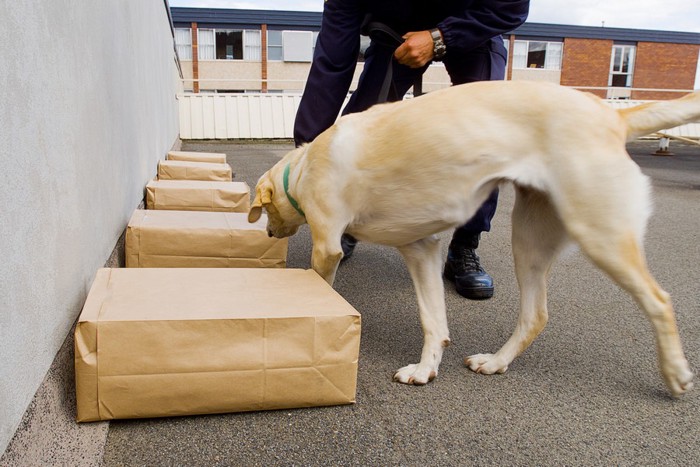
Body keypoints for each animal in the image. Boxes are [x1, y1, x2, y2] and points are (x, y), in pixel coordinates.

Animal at [249, 82, 696, 396]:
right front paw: (426, 368)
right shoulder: (422, 250)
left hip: (601, 235)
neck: (302, 168)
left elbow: (323, 285)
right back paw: (496, 362)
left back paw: (675, 372)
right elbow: (433, 320)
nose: (269, 231)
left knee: (659, 300)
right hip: (529, 241)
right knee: (535, 315)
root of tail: (611, 115)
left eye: (266, 213)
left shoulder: (328, 247)